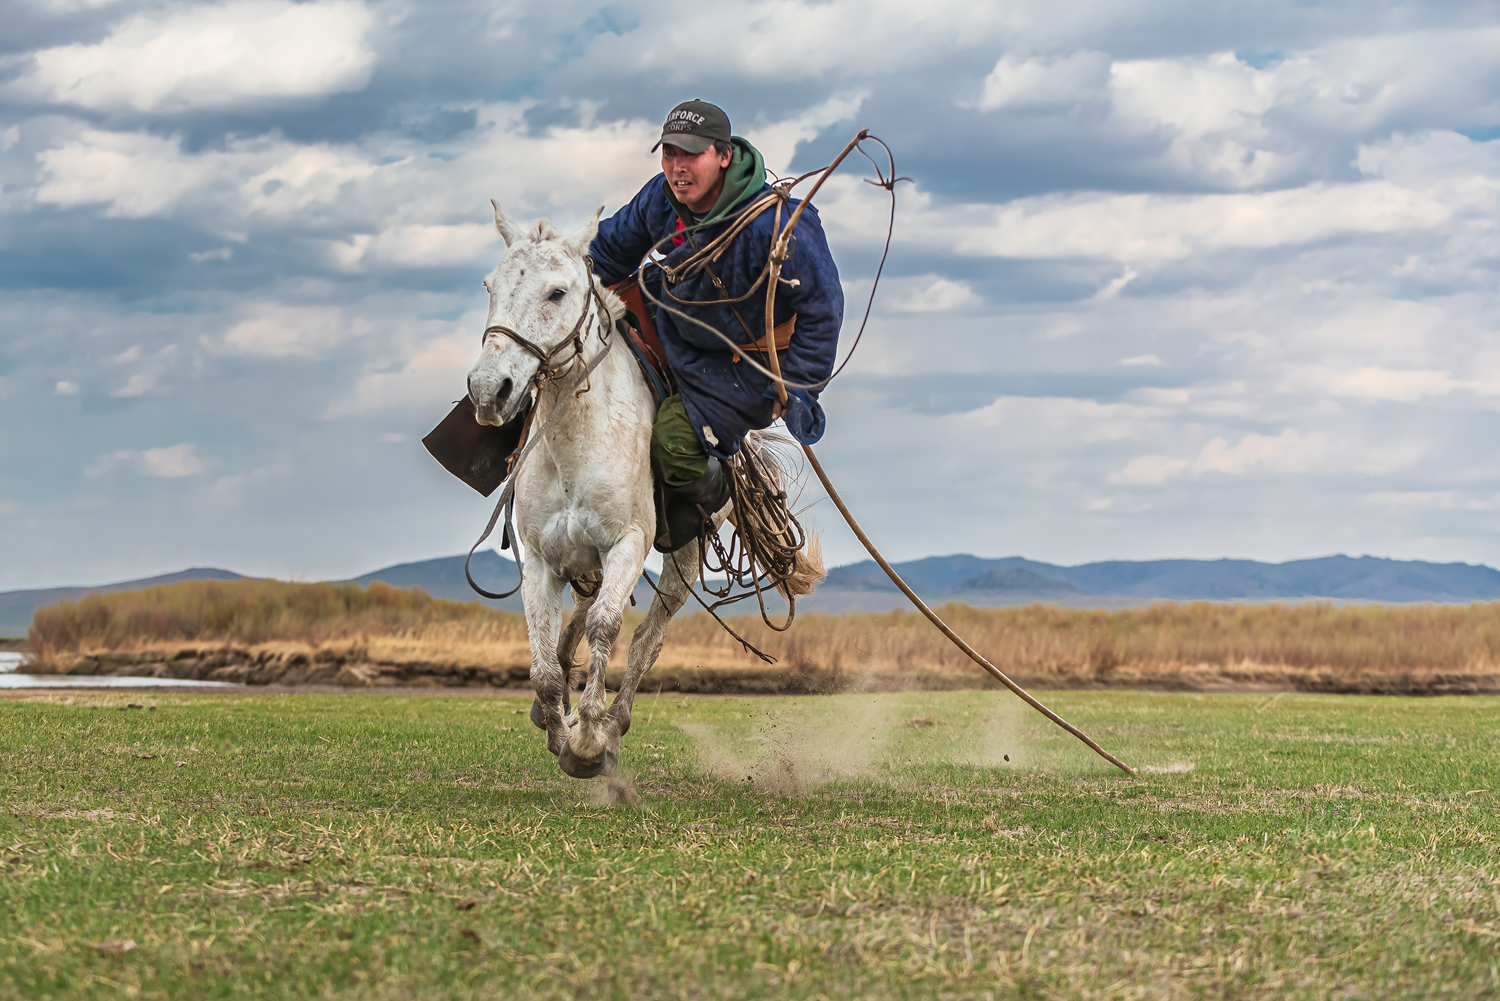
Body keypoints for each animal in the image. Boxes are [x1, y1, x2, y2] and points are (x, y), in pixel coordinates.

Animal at [468, 201, 822, 780]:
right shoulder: (540, 558)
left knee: (645, 640)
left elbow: (608, 628)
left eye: (557, 292)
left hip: (685, 555)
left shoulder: (628, 543)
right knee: (582, 612)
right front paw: (558, 724)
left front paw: (588, 740)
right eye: (490, 286)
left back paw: (614, 722)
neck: (577, 442)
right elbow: (543, 659)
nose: (487, 389)